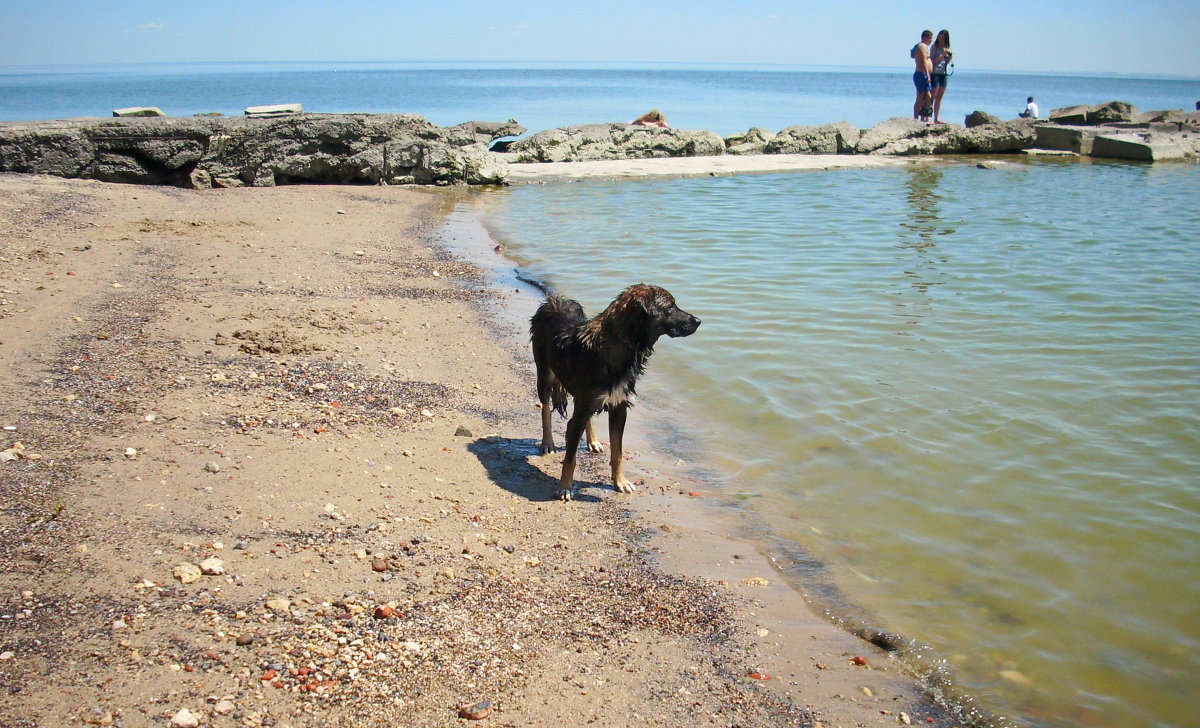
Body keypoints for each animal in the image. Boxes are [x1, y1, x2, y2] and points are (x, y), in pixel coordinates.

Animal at [530, 281, 700, 498]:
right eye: (670, 307)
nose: (698, 321)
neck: (621, 343)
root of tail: (552, 301)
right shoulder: (588, 404)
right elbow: (570, 457)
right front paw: (565, 486)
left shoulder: (619, 407)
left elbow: (617, 451)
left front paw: (621, 482)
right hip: (545, 373)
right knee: (545, 409)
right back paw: (547, 442)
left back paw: (593, 441)